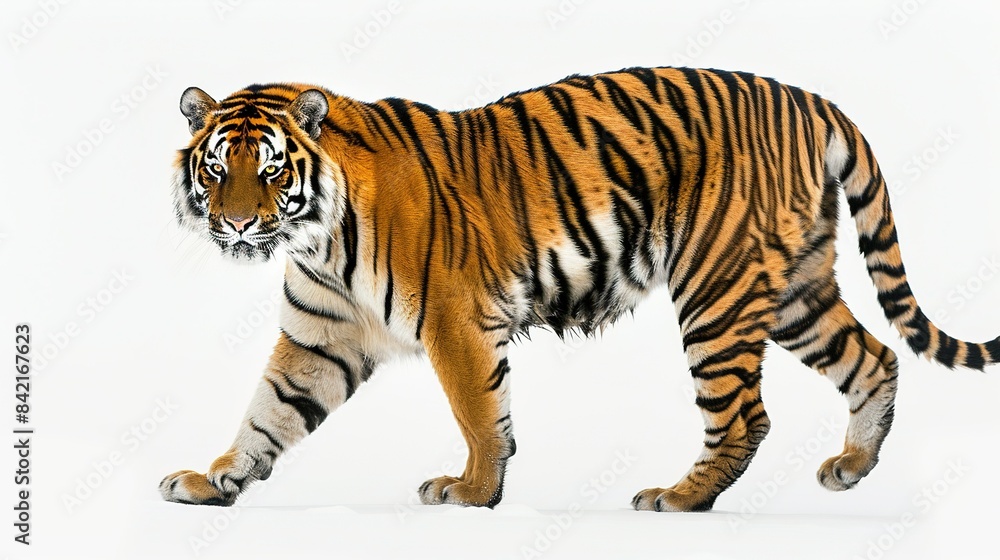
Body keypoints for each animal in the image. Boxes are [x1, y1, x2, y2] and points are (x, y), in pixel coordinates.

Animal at [160, 66, 999, 512]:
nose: (237, 224)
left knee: (745, 417)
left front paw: (472, 491)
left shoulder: (456, 321)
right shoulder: (319, 336)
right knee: (874, 358)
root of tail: (814, 100)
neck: (319, 238)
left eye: (271, 170)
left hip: (717, 290)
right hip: (795, 288)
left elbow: (481, 416)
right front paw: (214, 479)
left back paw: (678, 499)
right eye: (217, 168)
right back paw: (853, 466)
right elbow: (269, 413)